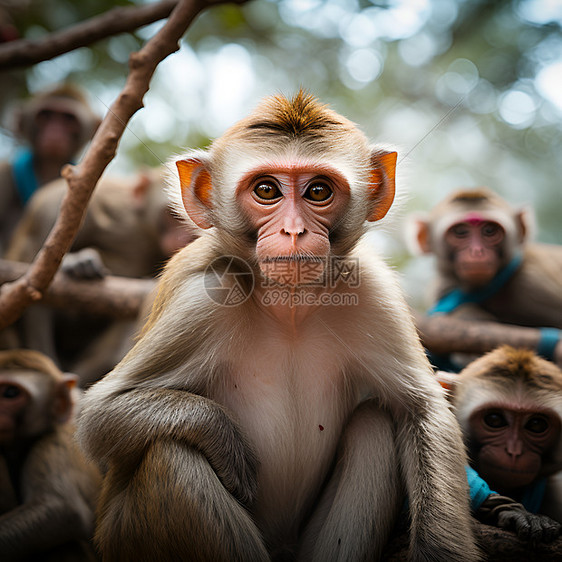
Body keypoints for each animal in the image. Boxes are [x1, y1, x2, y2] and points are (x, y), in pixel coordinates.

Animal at [74, 91, 476, 560]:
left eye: (319, 191)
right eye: (266, 190)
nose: (294, 231)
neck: (289, 309)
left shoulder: (371, 291)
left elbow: (421, 410)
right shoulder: (203, 298)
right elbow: (99, 416)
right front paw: (223, 438)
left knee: (374, 425)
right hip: (126, 534)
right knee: (171, 455)